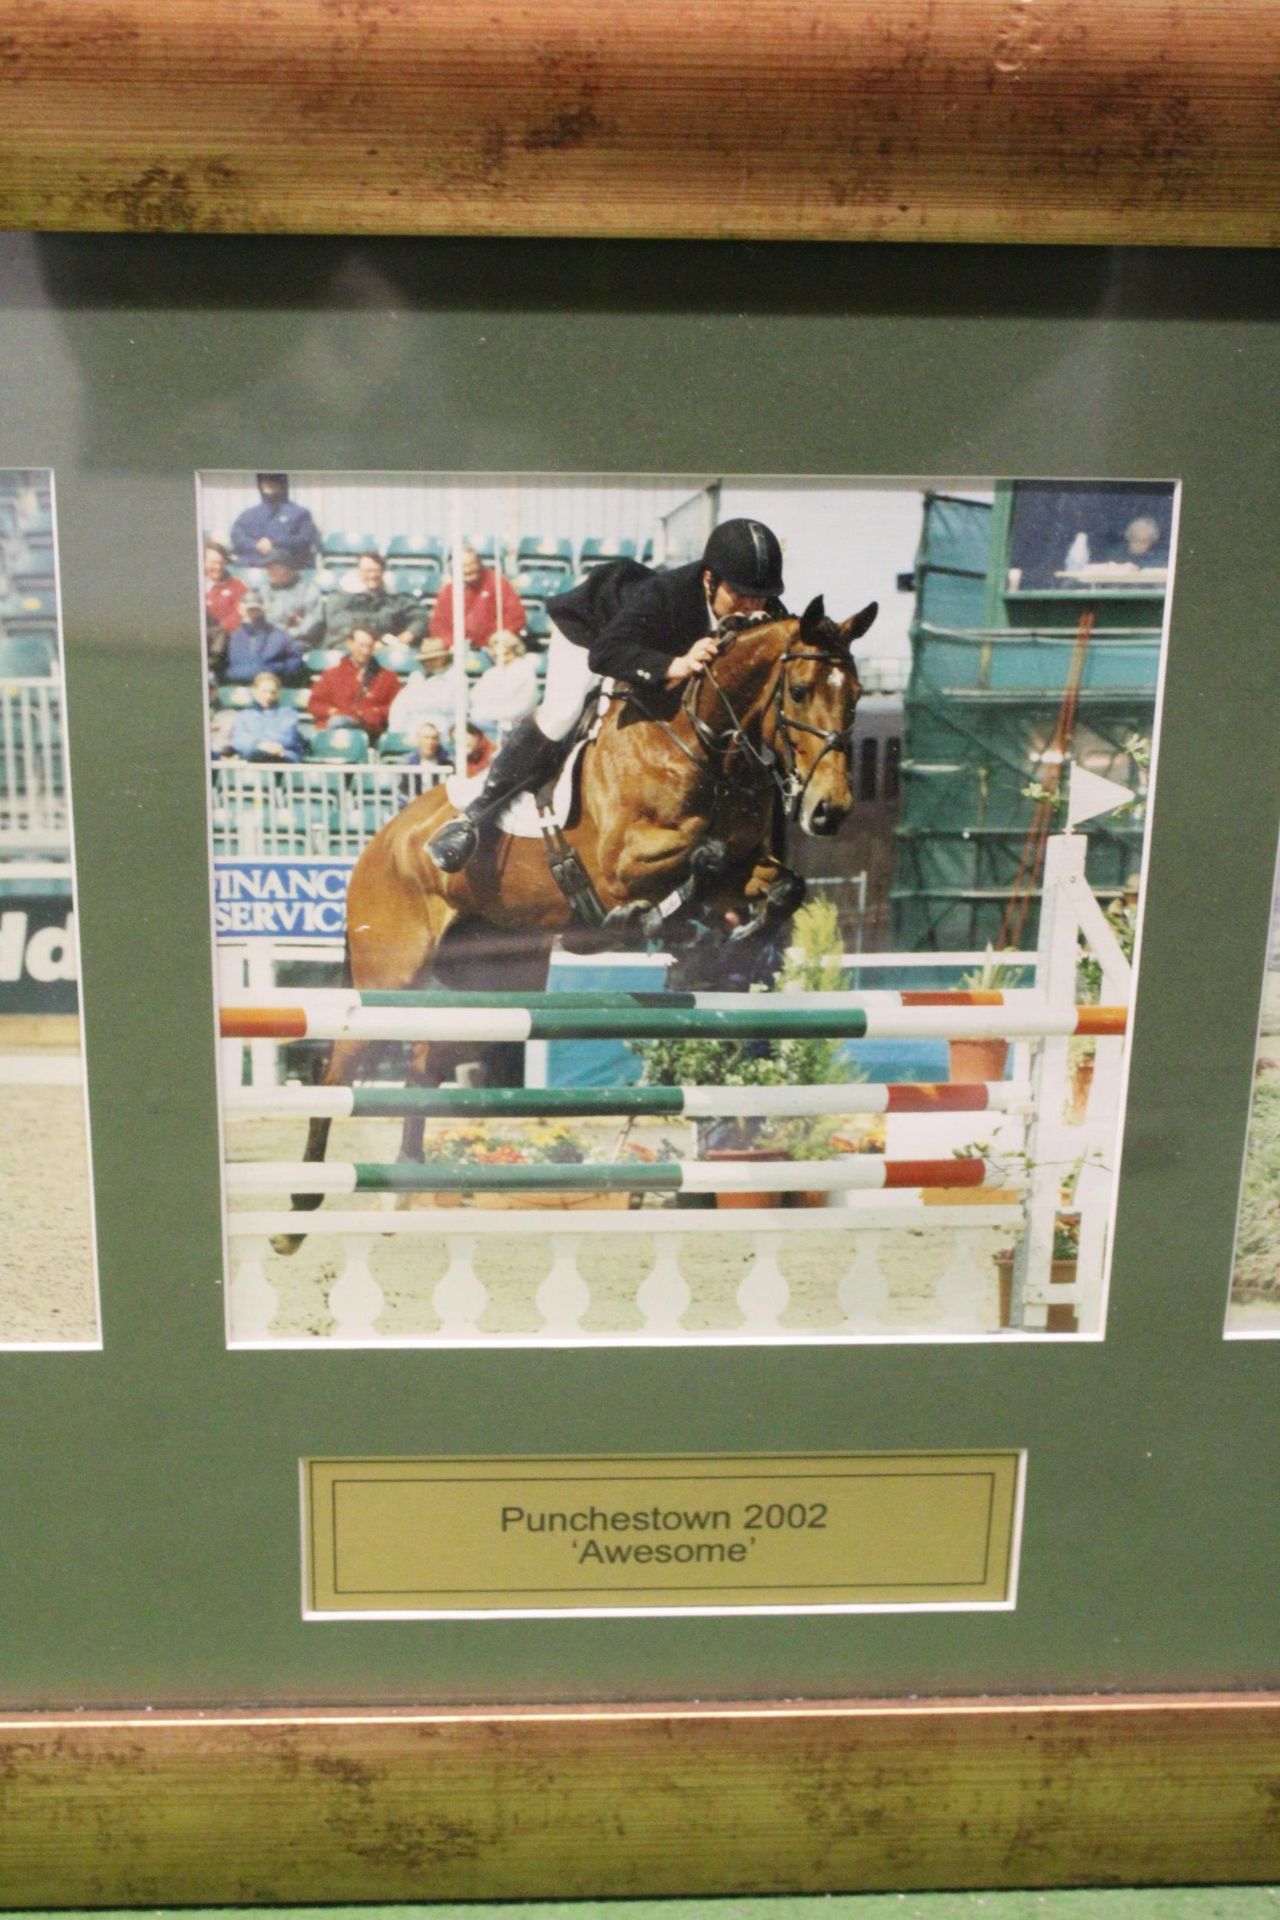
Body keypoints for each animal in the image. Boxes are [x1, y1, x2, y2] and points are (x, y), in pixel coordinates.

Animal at [274, 595, 875, 1244]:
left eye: (857, 695)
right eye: (799, 689)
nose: (830, 810)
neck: (701, 742)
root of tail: (378, 844)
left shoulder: (743, 866)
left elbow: (779, 883)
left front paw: (728, 931)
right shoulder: (621, 863)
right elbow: (701, 856)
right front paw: (649, 920)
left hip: (495, 982)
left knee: (424, 1062)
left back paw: (404, 1186)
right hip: (391, 973)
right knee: (337, 1070)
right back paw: (298, 1213)